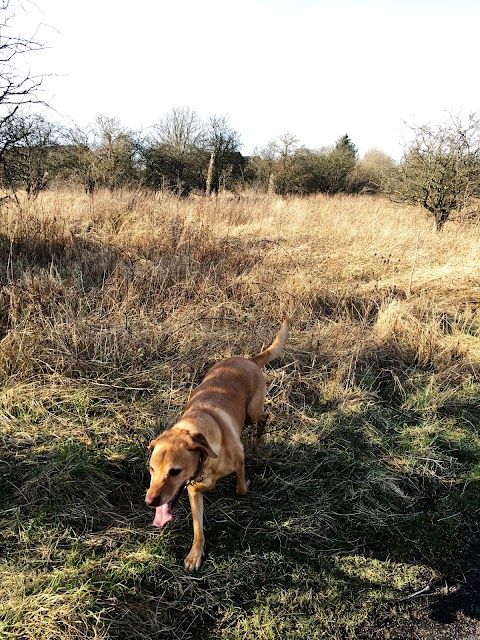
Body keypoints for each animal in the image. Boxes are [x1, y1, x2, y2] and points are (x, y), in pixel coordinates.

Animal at [145, 320, 288, 568]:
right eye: (152, 469)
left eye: (175, 471)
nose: (150, 501)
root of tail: (248, 359)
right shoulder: (193, 492)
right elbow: (198, 529)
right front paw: (195, 554)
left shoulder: (238, 462)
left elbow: (241, 488)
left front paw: (244, 484)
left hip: (252, 412)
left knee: (264, 417)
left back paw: (257, 441)